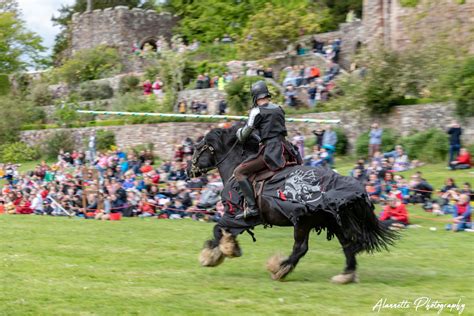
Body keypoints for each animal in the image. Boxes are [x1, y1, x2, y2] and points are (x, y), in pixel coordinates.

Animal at [188, 126, 396, 284]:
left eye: (198, 148)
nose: (188, 171)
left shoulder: (235, 217)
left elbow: (217, 229)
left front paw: (214, 255)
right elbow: (221, 231)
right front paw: (224, 250)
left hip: (303, 222)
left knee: (301, 248)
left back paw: (279, 269)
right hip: (331, 222)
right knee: (347, 245)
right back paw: (346, 275)